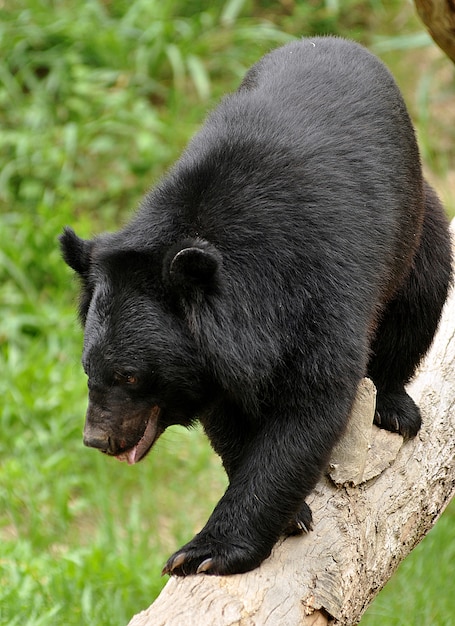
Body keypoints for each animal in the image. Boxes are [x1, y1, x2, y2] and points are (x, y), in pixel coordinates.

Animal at [59, 36, 452, 576]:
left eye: (131, 376)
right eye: (88, 369)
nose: (97, 439)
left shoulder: (317, 288)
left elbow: (309, 408)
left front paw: (205, 552)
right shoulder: (214, 365)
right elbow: (231, 421)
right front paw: (290, 515)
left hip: (415, 227)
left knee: (420, 298)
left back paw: (394, 407)